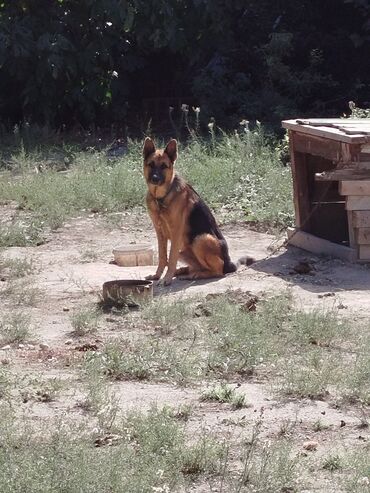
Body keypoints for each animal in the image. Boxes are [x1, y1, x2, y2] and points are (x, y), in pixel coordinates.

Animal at [143, 137, 253, 284]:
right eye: (151, 164)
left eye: (164, 166)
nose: (155, 179)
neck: (161, 197)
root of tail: (229, 264)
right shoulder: (159, 232)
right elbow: (162, 257)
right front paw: (157, 275)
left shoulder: (176, 233)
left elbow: (170, 259)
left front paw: (167, 278)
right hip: (184, 250)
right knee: (197, 266)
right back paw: (184, 271)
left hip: (201, 239)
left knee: (218, 270)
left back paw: (193, 275)